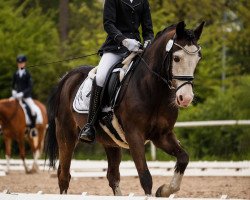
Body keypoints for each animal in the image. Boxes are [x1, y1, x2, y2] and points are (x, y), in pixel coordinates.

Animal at [45, 21, 205, 196]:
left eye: (198, 59)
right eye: (176, 58)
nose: (186, 98)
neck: (152, 90)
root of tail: (68, 76)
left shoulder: (162, 136)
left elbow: (183, 158)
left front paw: (163, 191)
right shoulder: (134, 135)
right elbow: (145, 177)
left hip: (110, 142)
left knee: (112, 176)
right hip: (66, 134)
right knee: (64, 175)